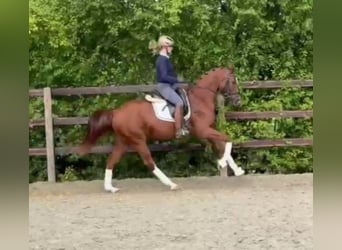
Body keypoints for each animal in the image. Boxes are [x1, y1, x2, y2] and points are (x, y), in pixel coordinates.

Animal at [79, 65, 244, 192]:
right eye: (232, 81)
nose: (238, 101)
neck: (200, 99)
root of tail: (116, 112)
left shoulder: (209, 129)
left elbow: (222, 144)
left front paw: (236, 169)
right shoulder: (203, 130)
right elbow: (228, 140)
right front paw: (222, 163)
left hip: (124, 141)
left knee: (112, 160)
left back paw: (110, 188)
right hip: (138, 140)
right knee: (149, 162)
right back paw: (172, 184)